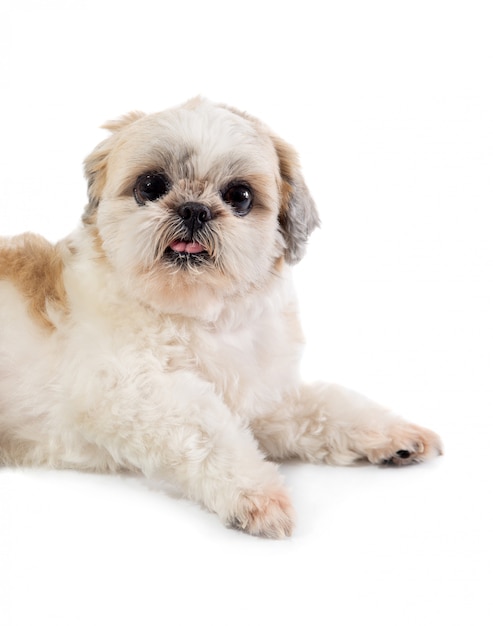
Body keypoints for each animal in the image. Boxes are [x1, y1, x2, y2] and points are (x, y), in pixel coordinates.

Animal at [0, 97, 442, 536]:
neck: (198, 318)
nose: (194, 209)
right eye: (151, 186)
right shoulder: (128, 393)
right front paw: (258, 494)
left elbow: (325, 407)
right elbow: (207, 431)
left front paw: (394, 436)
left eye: (240, 196)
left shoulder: (264, 400)